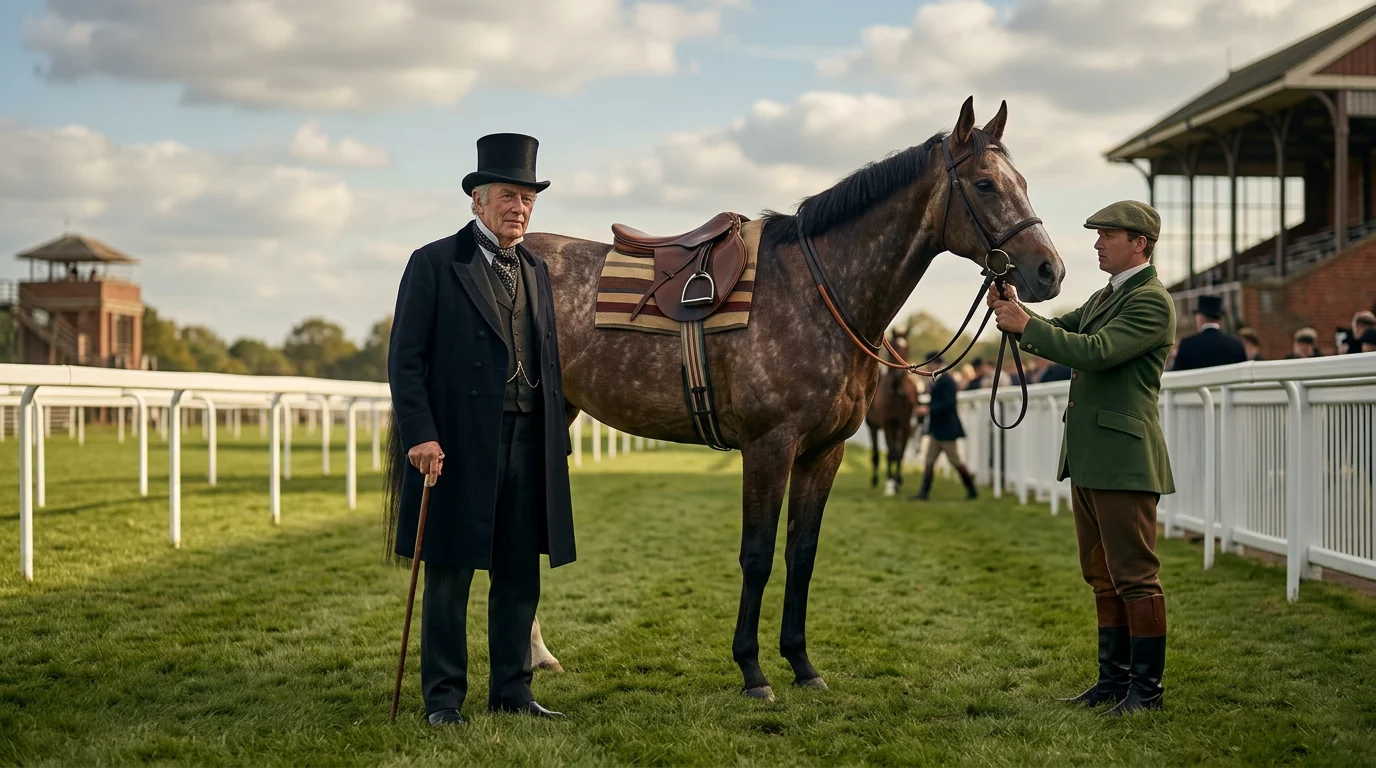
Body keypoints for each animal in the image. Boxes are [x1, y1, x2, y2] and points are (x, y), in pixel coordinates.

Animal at [865, 336, 922, 495]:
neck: (896, 392)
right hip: (875, 426)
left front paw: (897, 481)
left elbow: (899, 453)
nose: (898, 376)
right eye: (894, 347)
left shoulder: (906, 425)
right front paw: (890, 484)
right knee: (877, 453)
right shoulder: (886, 424)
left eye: (907, 348)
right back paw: (876, 479)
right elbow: (890, 453)